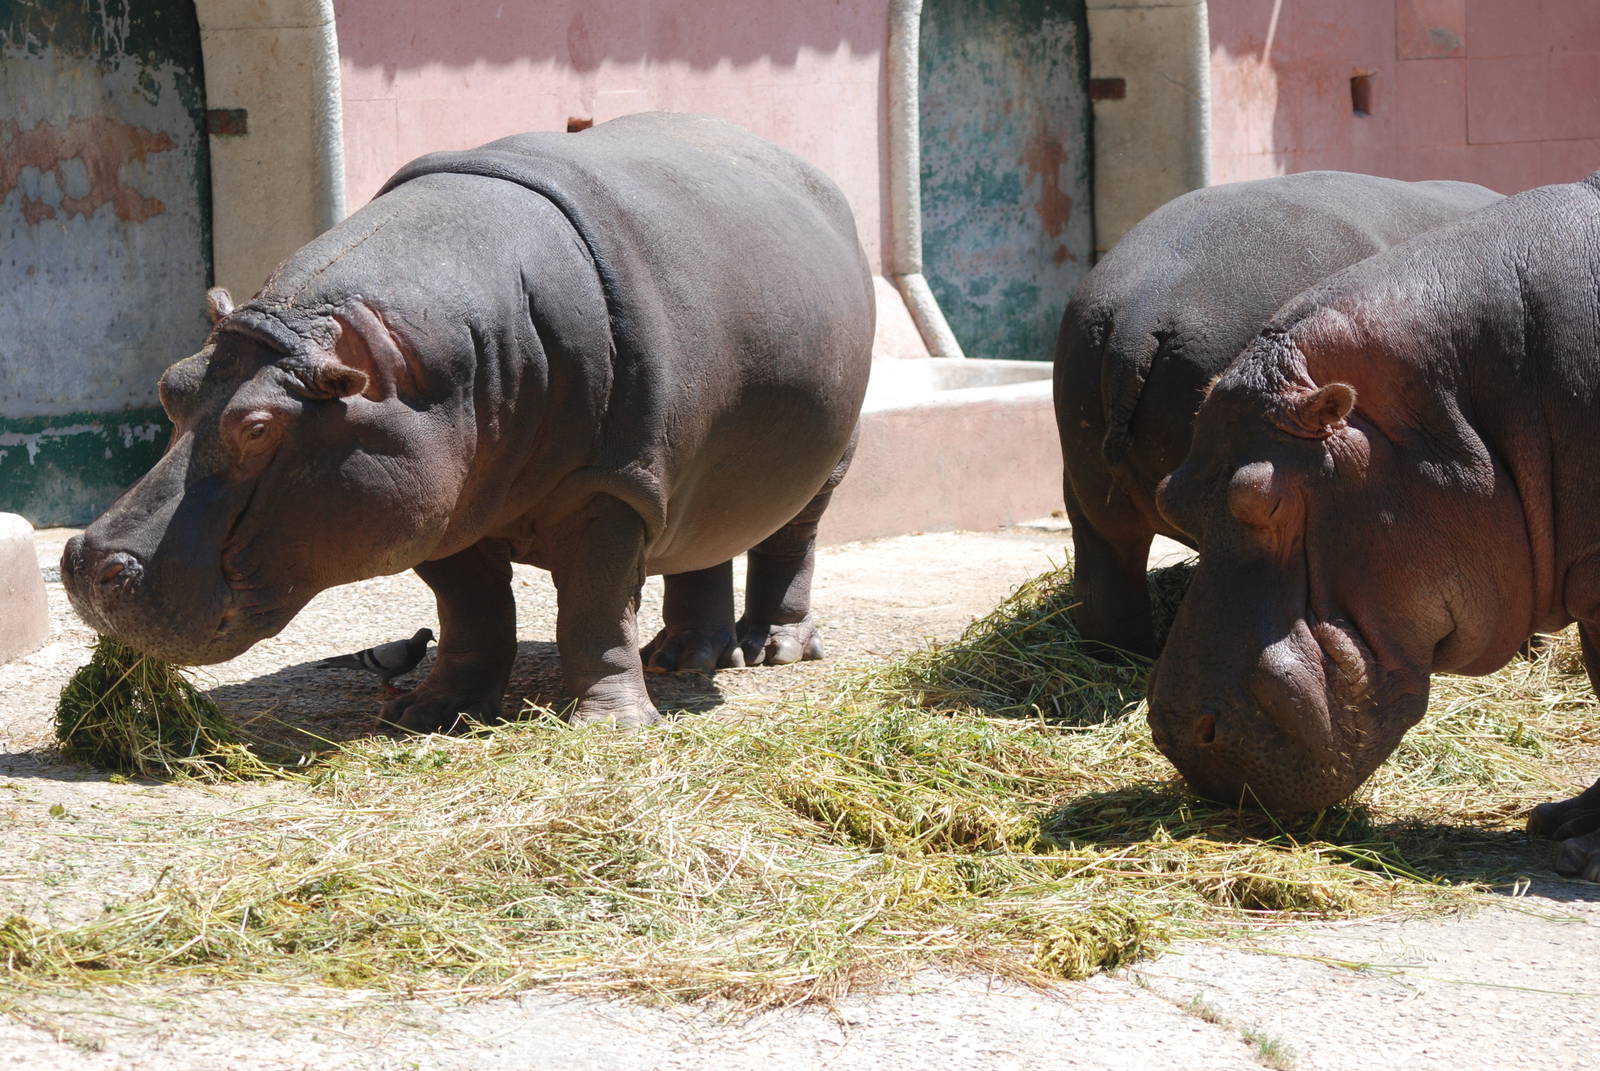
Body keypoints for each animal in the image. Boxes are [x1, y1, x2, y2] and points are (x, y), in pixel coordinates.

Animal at [61, 112, 874, 730]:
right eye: (172, 385)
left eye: (258, 427)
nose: (84, 562)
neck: (395, 368)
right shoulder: (439, 504)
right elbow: (470, 609)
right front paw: (431, 712)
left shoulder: (609, 487)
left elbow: (596, 608)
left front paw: (609, 725)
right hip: (696, 468)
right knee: (705, 542)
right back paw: (682, 659)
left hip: (824, 464)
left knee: (790, 542)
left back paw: (772, 649)